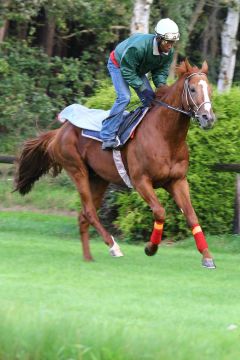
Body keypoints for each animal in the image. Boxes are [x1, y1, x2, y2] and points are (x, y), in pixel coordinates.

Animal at [14, 59, 217, 268]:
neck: (165, 137)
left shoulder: (177, 181)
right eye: (192, 89)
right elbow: (160, 212)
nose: (208, 118)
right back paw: (113, 246)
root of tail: (60, 131)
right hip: (77, 170)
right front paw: (150, 248)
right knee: (89, 212)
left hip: (98, 179)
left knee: (83, 216)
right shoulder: (141, 181)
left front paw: (207, 257)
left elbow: (191, 216)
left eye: (209, 89)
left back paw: (88, 258)